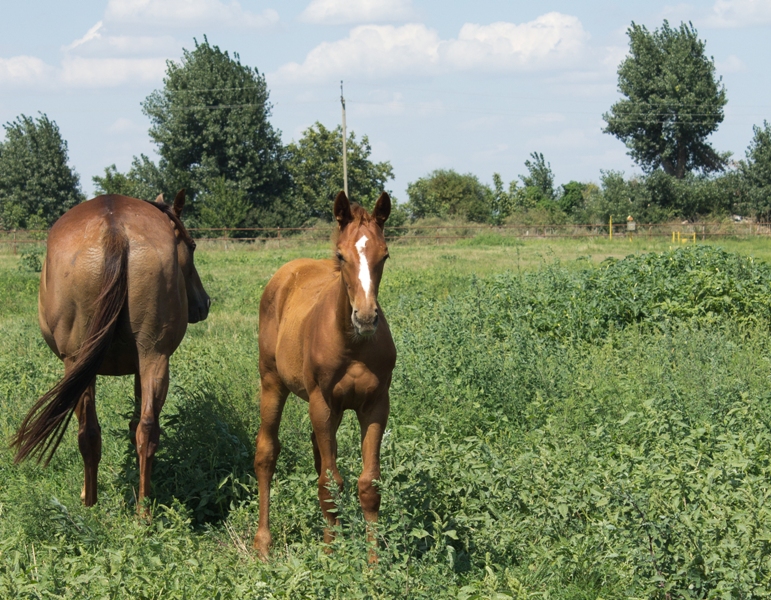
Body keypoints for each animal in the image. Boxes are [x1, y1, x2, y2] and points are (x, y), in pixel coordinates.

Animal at [255, 191, 396, 556]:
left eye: (385, 255)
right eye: (341, 255)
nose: (365, 317)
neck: (353, 345)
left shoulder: (375, 405)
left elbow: (367, 484)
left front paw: (374, 561)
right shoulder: (322, 404)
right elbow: (330, 484)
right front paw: (330, 557)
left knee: (319, 455)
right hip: (272, 382)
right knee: (266, 453)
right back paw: (263, 543)